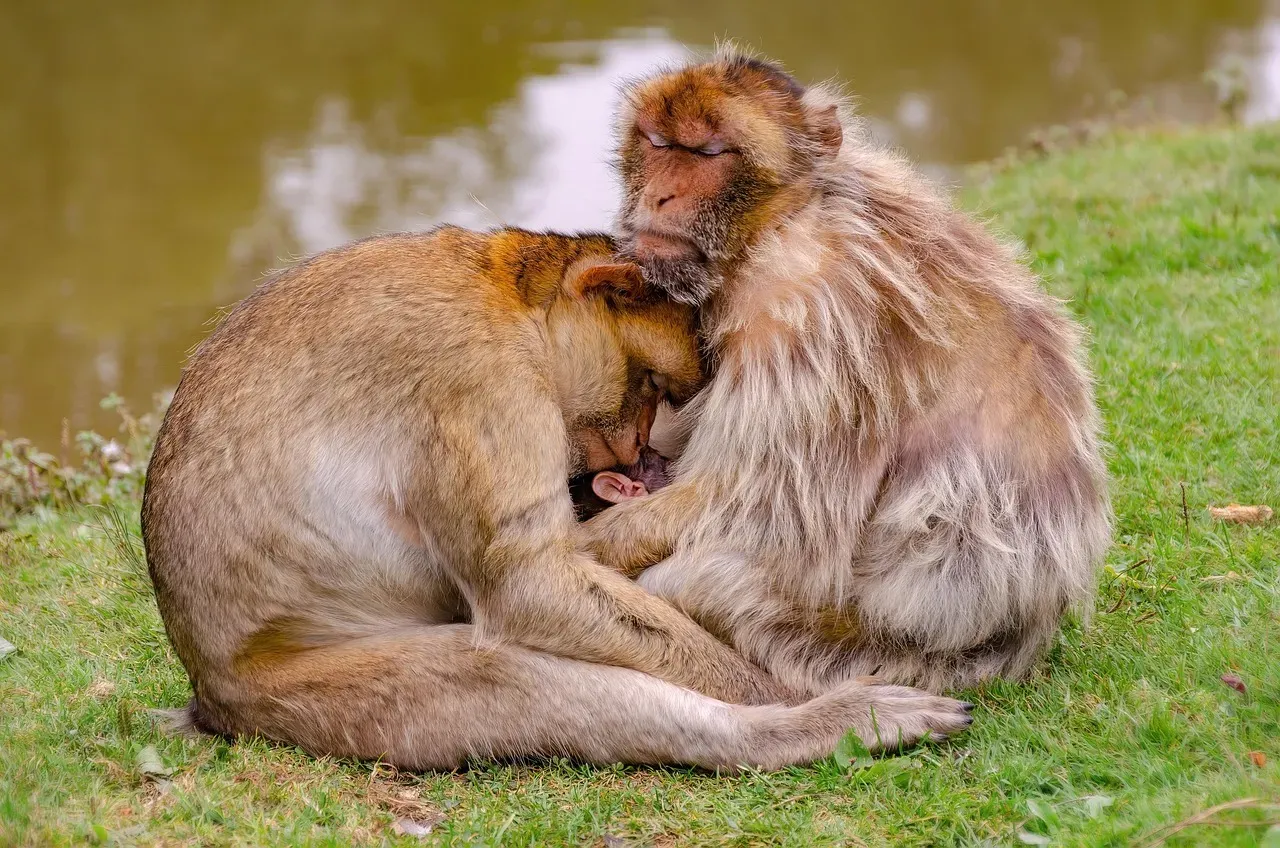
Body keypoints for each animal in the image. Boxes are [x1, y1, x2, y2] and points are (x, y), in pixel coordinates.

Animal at [141, 226, 973, 771]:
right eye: (652, 385)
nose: (637, 450)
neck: (507, 295)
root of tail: (208, 688)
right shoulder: (480, 381)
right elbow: (528, 584)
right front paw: (776, 691)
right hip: (299, 695)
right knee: (498, 673)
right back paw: (804, 730)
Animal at [579, 49, 1112, 697]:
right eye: (658, 143)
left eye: (708, 153)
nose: (659, 196)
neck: (777, 224)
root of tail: (1027, 631)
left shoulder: (807, 311)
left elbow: (761, 508)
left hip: (858, 648)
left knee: (711, 576)